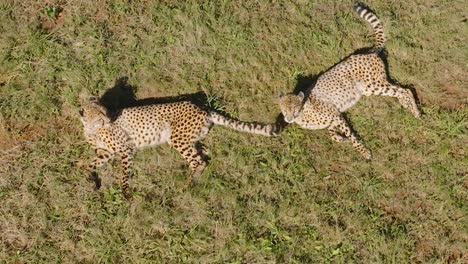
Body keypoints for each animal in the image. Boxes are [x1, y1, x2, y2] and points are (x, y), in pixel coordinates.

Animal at [80, 96, 278, 197]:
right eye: (99, 114)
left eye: (104, 112)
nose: (108, 118)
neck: (92, 129)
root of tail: (201, 106)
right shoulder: (105, 152)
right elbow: (88, 165)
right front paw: (89, 179)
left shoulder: (126, 149)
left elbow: (124, 172)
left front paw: (126, 192)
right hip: (187, 138)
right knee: (202, 156)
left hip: (175, 137)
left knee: (198, 162)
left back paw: (187, 186)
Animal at [278, 3, 420, 160]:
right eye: (284, 109)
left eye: (294, 108)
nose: (288, 118)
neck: (304, 112)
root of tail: (368, 52)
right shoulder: (334, 117)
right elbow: (332, 134)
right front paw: (341, 139)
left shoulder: (336, 115)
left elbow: (351, 136)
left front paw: (363, 152)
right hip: (371, 87)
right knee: (400, 90)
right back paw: (407, 105)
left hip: (372, 84)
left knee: (404, 90)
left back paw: (416, 112)